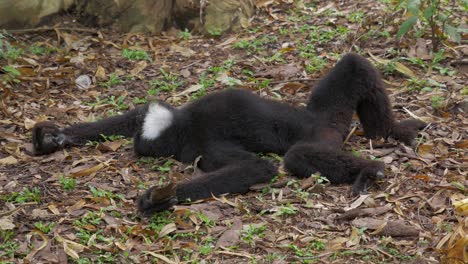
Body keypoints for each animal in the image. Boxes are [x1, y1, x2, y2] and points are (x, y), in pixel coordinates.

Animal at [31, 53, 426, 214]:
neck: (183, 123)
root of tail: (321, 123)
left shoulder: (205, 145)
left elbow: (258, 168)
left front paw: (158, 200)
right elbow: (135, 115)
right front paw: (55, 138)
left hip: (321, 133)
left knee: (296, 156)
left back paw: (368, 169)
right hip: (331, 111)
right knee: (354, 64)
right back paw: (391, 131)